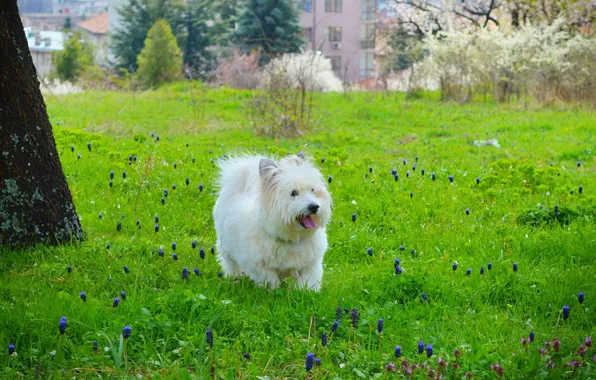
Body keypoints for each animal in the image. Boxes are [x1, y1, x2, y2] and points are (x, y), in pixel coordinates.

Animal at [212, 154, 330, 290]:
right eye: (294, 192)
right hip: (227, 249)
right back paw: (235, 279)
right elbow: (270, 281)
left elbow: (308, 282)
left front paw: (306, 292)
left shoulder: (311, 265)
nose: (314, 206)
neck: (292, 238)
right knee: (232, 266)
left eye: (312, 190)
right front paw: (274, 292)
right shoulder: (260, 267)